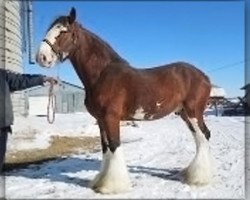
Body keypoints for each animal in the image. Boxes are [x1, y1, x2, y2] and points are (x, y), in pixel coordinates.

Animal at [35, 7, 213, 194]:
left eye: (63, 31)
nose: (41, 57)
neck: (103, 74)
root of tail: (204, 76)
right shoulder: (100, 120)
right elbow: (105, 147)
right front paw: (100, 182)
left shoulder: (111, 118)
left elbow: (114, 145)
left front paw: (113, 186)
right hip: (184, 114)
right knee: (200, 137)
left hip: (193, 112)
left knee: (204, 136)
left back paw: (200, 177)